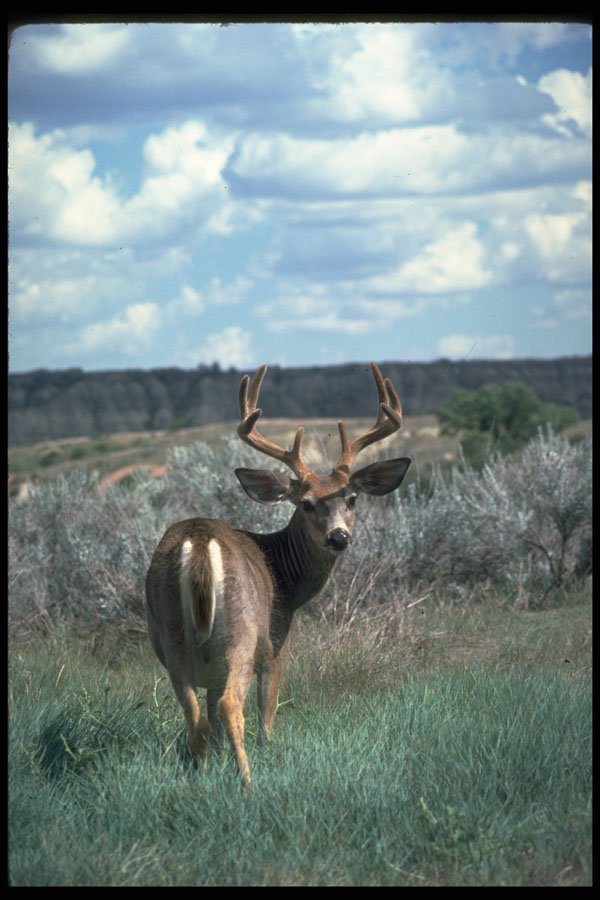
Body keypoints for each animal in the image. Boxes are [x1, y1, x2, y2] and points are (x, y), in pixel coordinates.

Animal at [145, 362, 411, 787]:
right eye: (306, 504)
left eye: (352, 499)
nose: (339, 536)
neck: (285, 577)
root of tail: (199, 541)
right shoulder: (274, 644)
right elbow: (266, 714)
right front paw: (269, 753)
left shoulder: (209, 670)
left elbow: (211, 724)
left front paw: (215, 766)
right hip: (241, 633)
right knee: (232, 707)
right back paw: (248, 784)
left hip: (172, 639)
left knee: (196, 718)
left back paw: (202, 779)